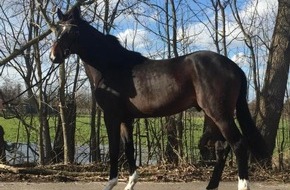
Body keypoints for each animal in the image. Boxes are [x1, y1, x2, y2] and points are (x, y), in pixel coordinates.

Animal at [50, 6, 270, 189]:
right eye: (56, 30)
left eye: (73, 31)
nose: (54, 56)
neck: (111, 66)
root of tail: (234, 66)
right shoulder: (126, 119)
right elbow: (129, 149)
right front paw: (130, 183)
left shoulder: (111, 116)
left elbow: (114, 151)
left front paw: (110, 184)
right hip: (213, 115)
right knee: (223, 148)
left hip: (220, 114)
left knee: (238, 145)